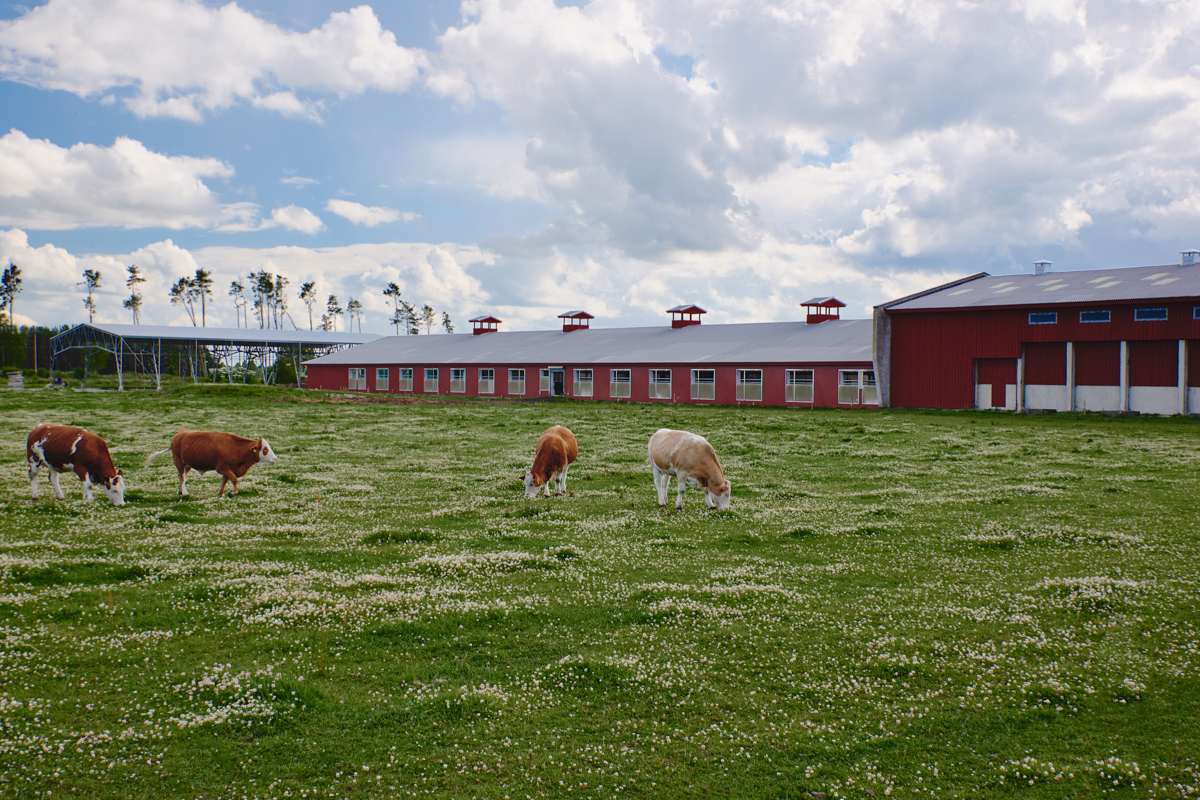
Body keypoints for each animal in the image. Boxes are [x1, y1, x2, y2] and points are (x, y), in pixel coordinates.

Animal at [146, 429, 277, 496]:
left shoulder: (229, 469)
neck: (236, 448)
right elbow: (234, 479)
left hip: (187, 464)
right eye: (265, 449)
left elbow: (225, 481)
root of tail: (179, 433)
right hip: (178, 461)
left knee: (183, 476)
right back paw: (185, 493)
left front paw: (221, 494)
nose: (275, 458)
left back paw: (180, 490)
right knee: (181, 476)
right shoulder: (222, 468)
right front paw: (233, 492)